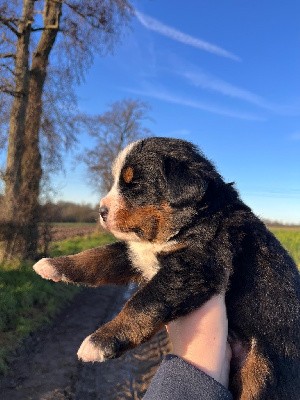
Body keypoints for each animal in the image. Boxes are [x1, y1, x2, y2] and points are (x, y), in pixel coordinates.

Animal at [33, 138, 300, 400]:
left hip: (261, 367)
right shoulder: (137, 254)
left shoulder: (194, 267)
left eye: (135, 184)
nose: (101, 212)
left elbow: (142, 303)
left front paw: (100, 342)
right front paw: (53, 265)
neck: (192, 221)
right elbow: (98, 257)